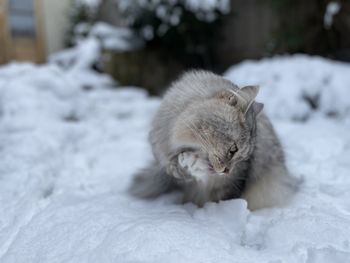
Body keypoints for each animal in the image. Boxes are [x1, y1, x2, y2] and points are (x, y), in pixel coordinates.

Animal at [129, 70, 298, 210]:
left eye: (243, 158)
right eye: (233, 150)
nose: (227, 172)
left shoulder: (226, 183)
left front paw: (192, 162)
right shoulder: (163, 152)